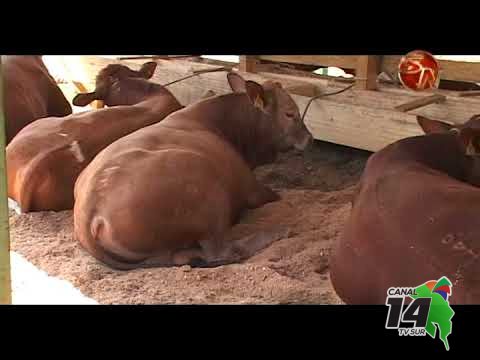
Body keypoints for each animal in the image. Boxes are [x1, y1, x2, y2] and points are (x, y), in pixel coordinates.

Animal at [71, 71, 312, 268]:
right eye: (290, 113)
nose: (309, 139)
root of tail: (89, 211)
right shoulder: (252, 187)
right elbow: (277, 196)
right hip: (209, 196)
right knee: (221, 251)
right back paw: (278, 231)